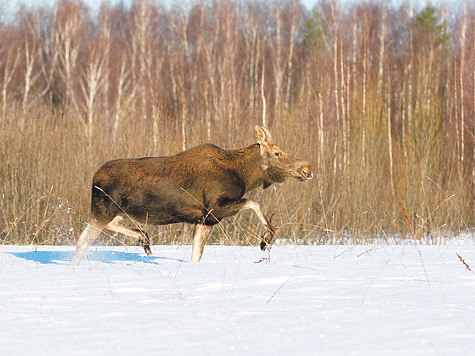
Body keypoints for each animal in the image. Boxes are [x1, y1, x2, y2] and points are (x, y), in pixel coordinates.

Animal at [72, 126, 314, 264]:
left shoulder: (205, 220)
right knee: (81, 242)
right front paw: (266, 238)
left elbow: (196, 256)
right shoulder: (215, 208)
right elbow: (254, 203)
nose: (307, 168)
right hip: (102, 211)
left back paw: (144, 240)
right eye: (277, 153)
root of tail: (94, 176)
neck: (244, 176)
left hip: (117, 212)